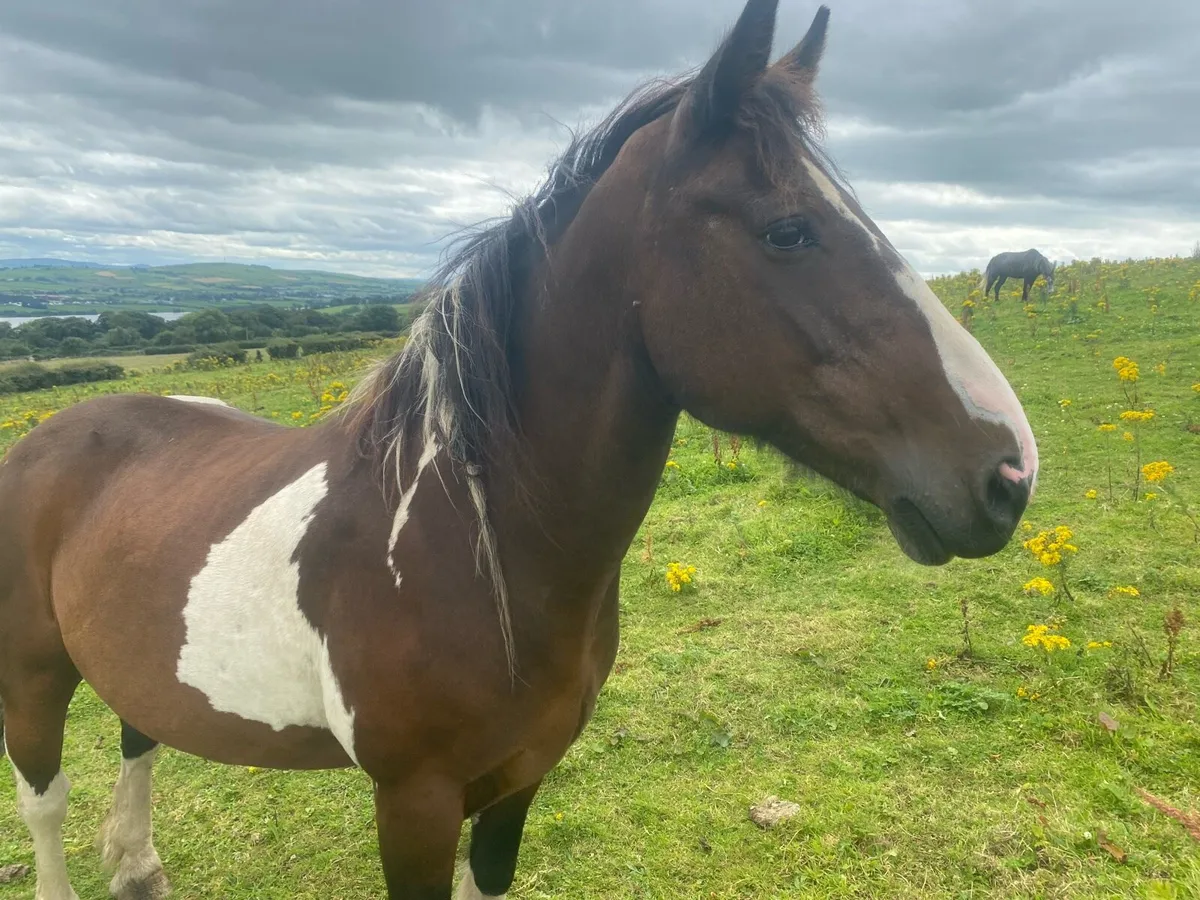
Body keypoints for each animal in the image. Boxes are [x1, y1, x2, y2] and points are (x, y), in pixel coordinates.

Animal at [0, 3, 1040, 898]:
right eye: (789, 230)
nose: (1010, 472)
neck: (466, 541)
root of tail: (54, 432)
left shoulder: (521, 779)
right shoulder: (413, 804)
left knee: (139, 735)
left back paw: (137, 867)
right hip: (35, 672)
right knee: (45, 800)